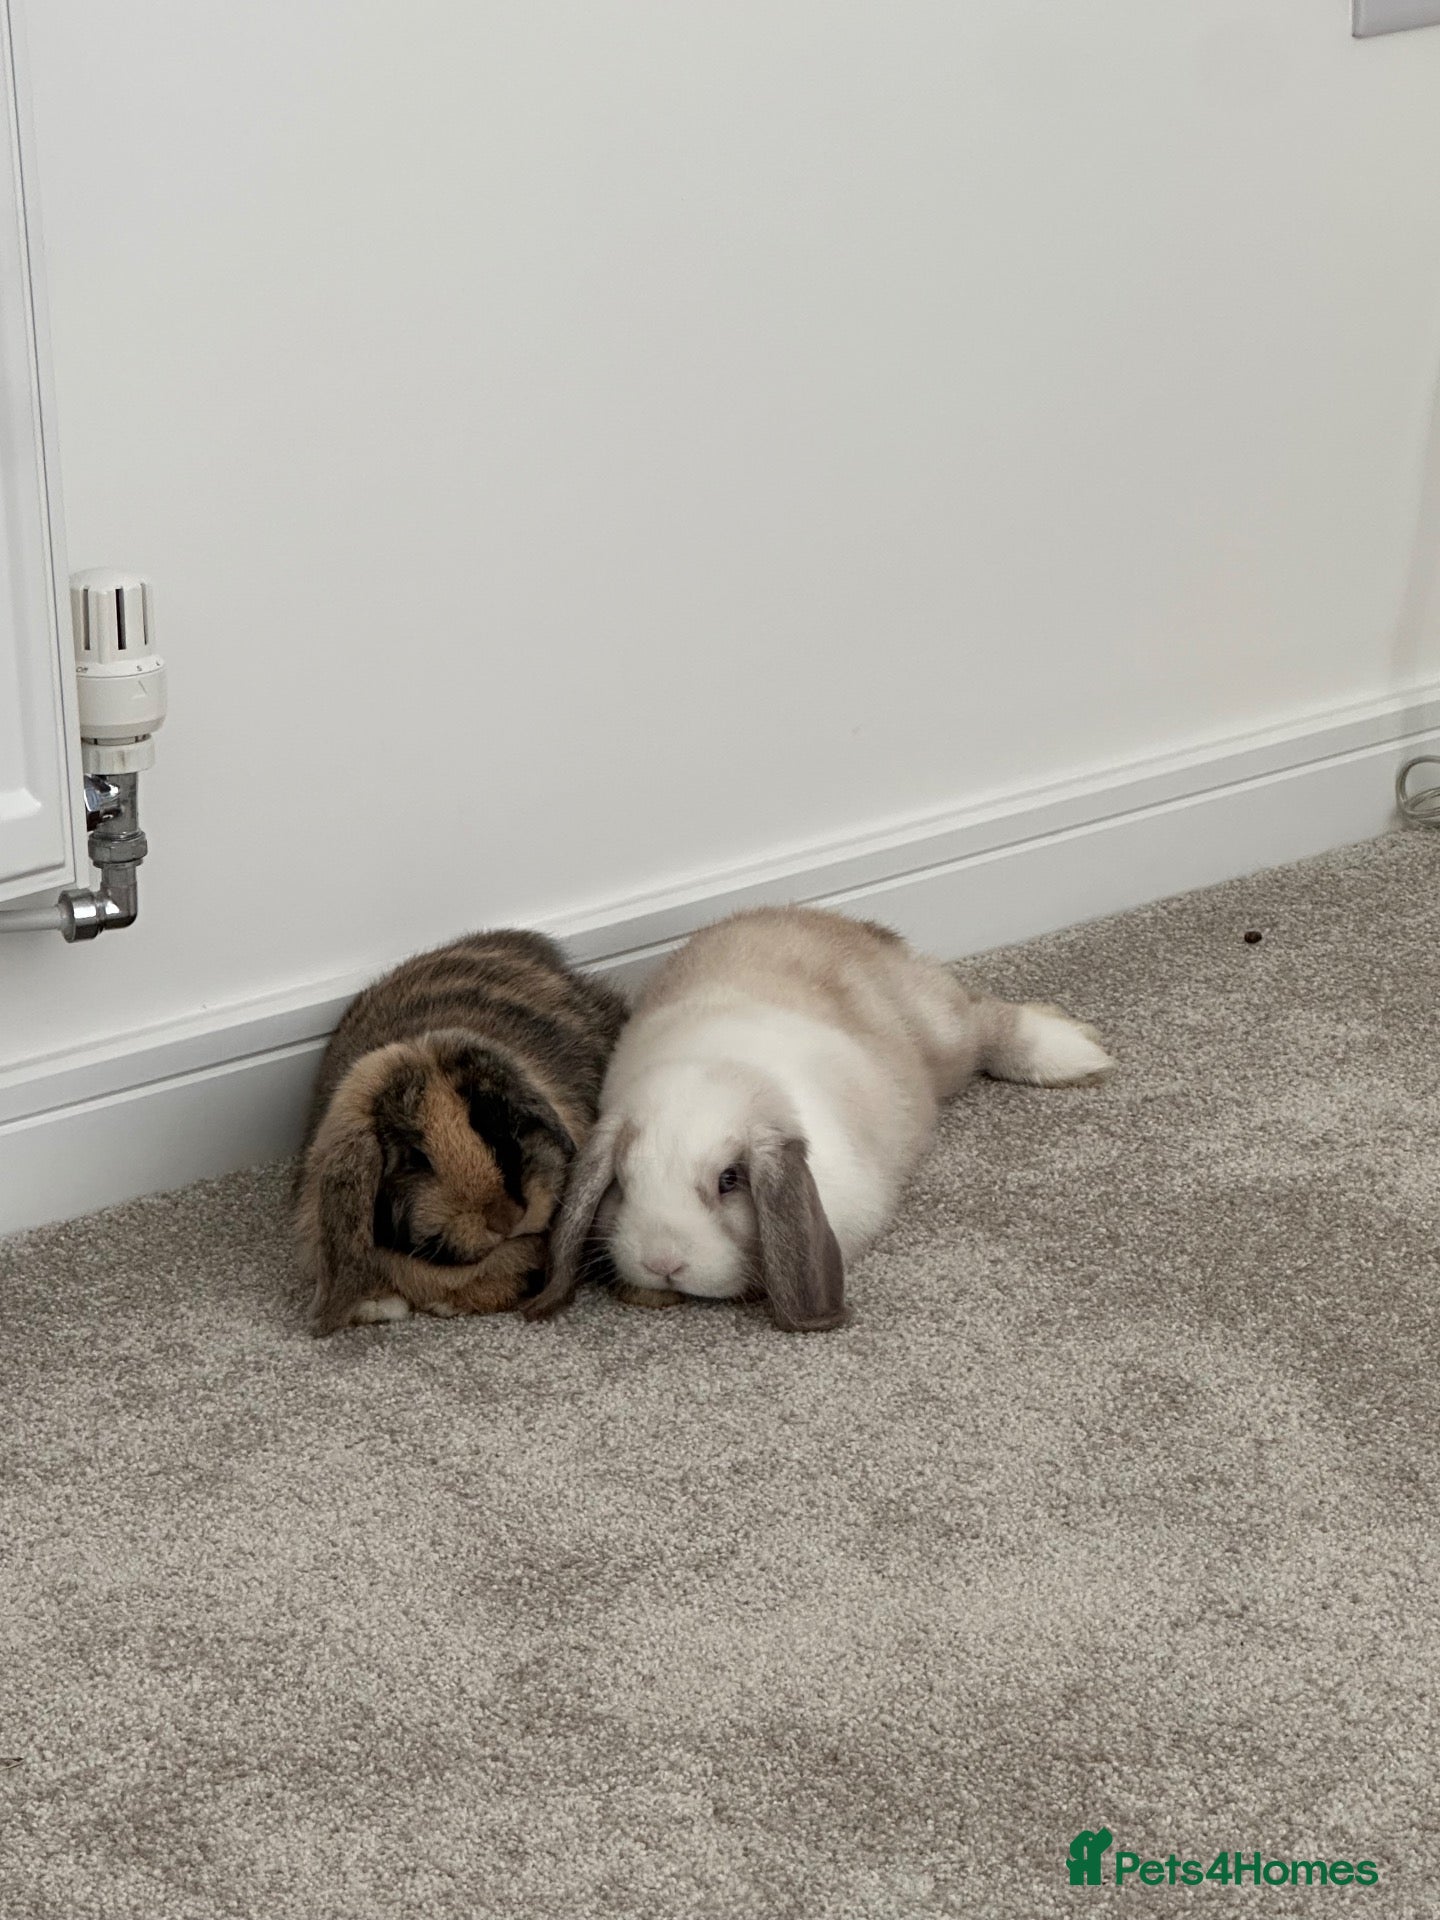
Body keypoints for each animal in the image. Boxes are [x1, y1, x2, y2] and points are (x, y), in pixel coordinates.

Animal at [525, 905, 1113, 1332]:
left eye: (729, 1180)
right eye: (622, 1183)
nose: (663, 1263)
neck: (720, 1068)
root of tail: (836, 922)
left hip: (943, 1037)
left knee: (986, 1023)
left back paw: (1077, 1053)